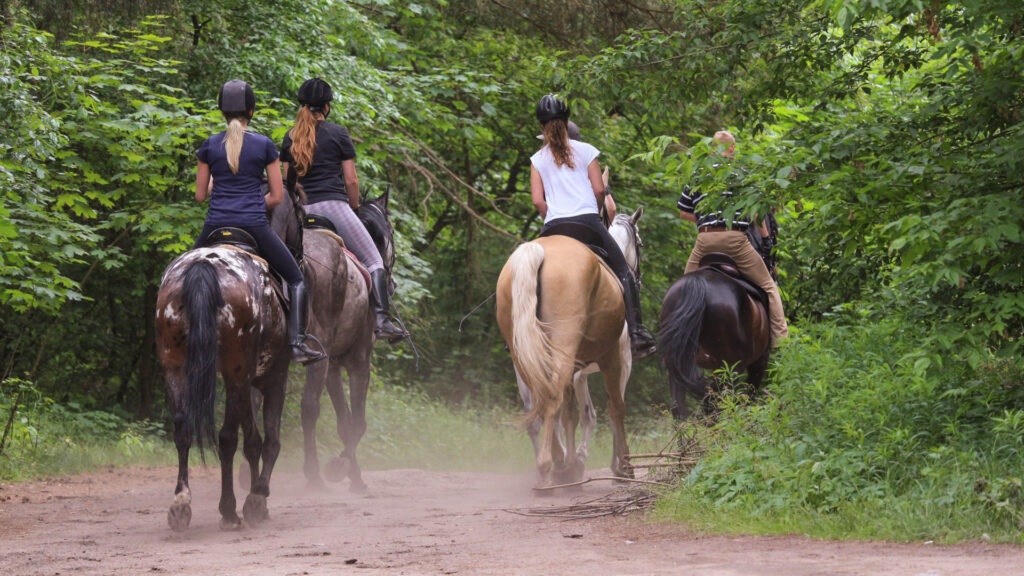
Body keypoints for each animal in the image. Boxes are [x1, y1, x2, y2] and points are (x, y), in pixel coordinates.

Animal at [155, 236, 292, 524]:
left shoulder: (247, 381)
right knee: (227, 437)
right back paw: (228, 509)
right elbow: (268, 441)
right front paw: (257, 496)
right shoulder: (272, 378)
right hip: (235, 371)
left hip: (176, 367)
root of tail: (203, 266)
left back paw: (181, 503)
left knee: (183, 430)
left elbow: (253, 440)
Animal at [493, 206, 638, 483]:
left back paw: (554, 465)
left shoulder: (577, 372)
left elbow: (574, 413)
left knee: (538, 409)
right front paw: (621, 466)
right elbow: (613, 408)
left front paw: (574, 461)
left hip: (524, 356)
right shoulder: (619, 359)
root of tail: (537, 251)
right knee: (554, 400)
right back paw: (551, 467)